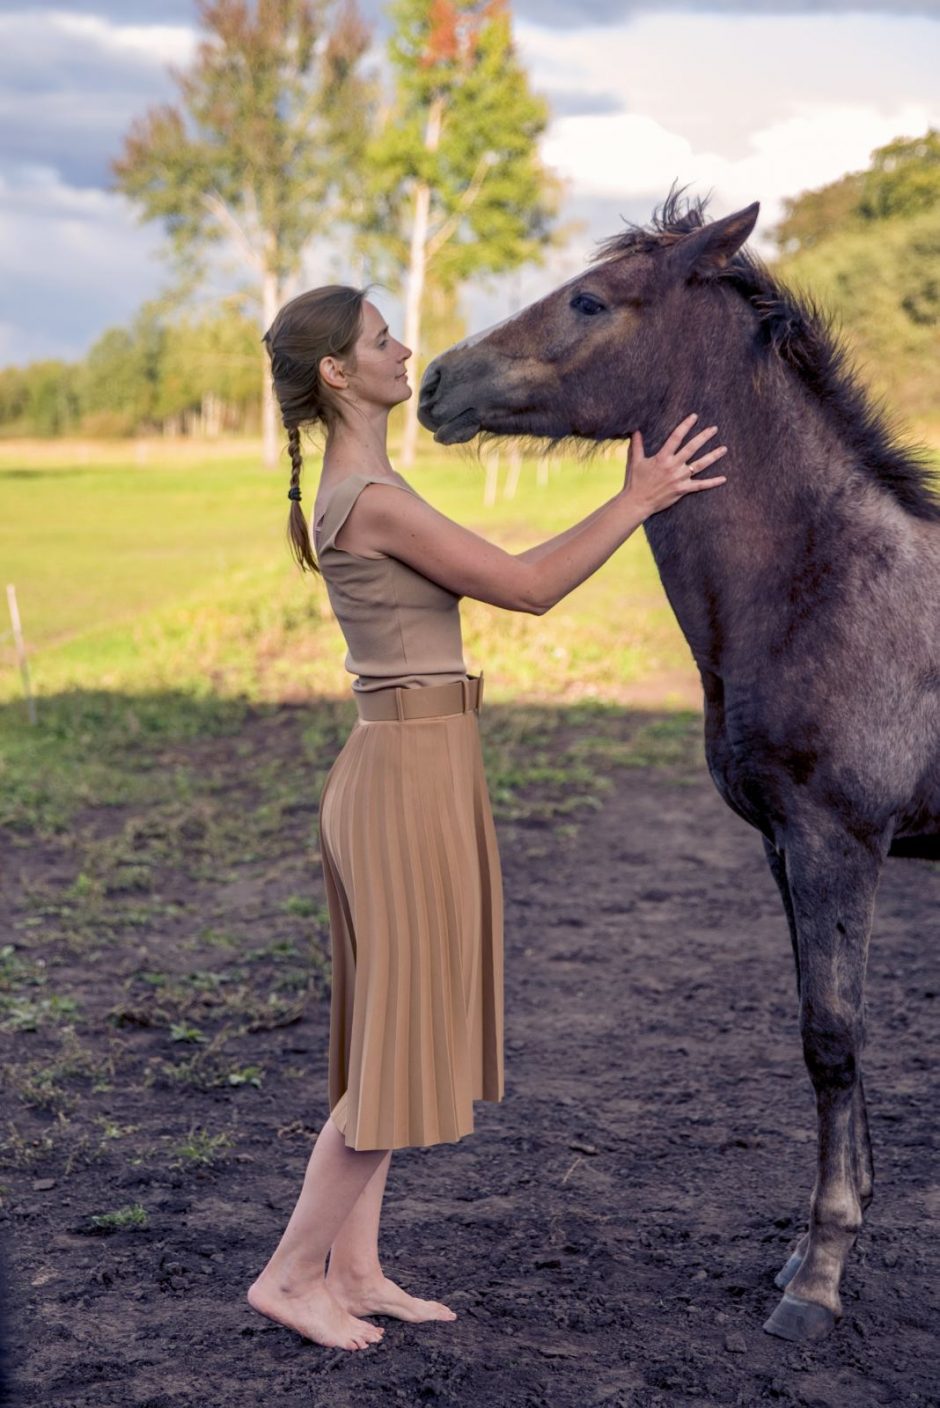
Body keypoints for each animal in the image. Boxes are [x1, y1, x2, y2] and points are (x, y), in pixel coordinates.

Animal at [419, 192, 940, 1346]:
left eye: (589, 300)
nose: (434, 381)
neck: (821, 579)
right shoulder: (785, 848)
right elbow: (826, 1030)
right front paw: (815, 1241)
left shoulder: (839, 843)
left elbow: (831, 1037)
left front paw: (816, 1279)